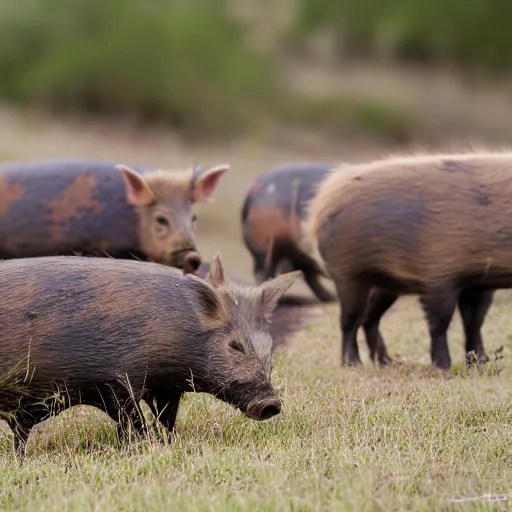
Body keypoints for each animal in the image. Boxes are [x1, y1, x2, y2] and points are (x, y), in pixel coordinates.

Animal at [0, 252, 300, 456]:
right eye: (235, 345)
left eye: (268, 346)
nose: (271, 403)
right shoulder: (117, 382)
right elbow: (134, 421)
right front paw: (140, 446)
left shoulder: (168, 387)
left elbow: (166, 419)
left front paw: (168, 442)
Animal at [306, 150, 502, 370]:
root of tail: (319, 205)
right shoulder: (437, 275)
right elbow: (440, 322)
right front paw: (443, 367)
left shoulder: (477, 281)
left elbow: (474, 322)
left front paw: (480, 364)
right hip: (348, 276)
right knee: (350, 320)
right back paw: (353, 364)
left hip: (385, 285)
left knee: (369, 317)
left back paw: (385, 361)